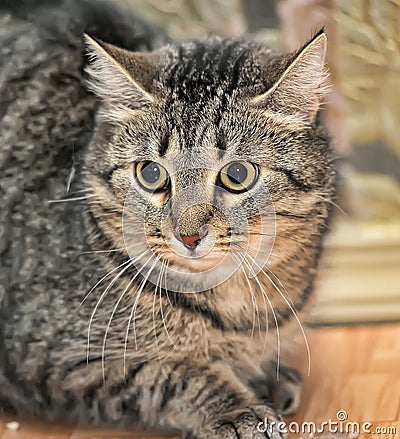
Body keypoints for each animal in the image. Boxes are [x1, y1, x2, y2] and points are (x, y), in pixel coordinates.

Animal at [0, 0, 336, 439]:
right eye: (151, 174)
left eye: (237, 174)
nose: (188, 236)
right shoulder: (58, 357)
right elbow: (175, 372)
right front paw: (237, 408)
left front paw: (267, 377)